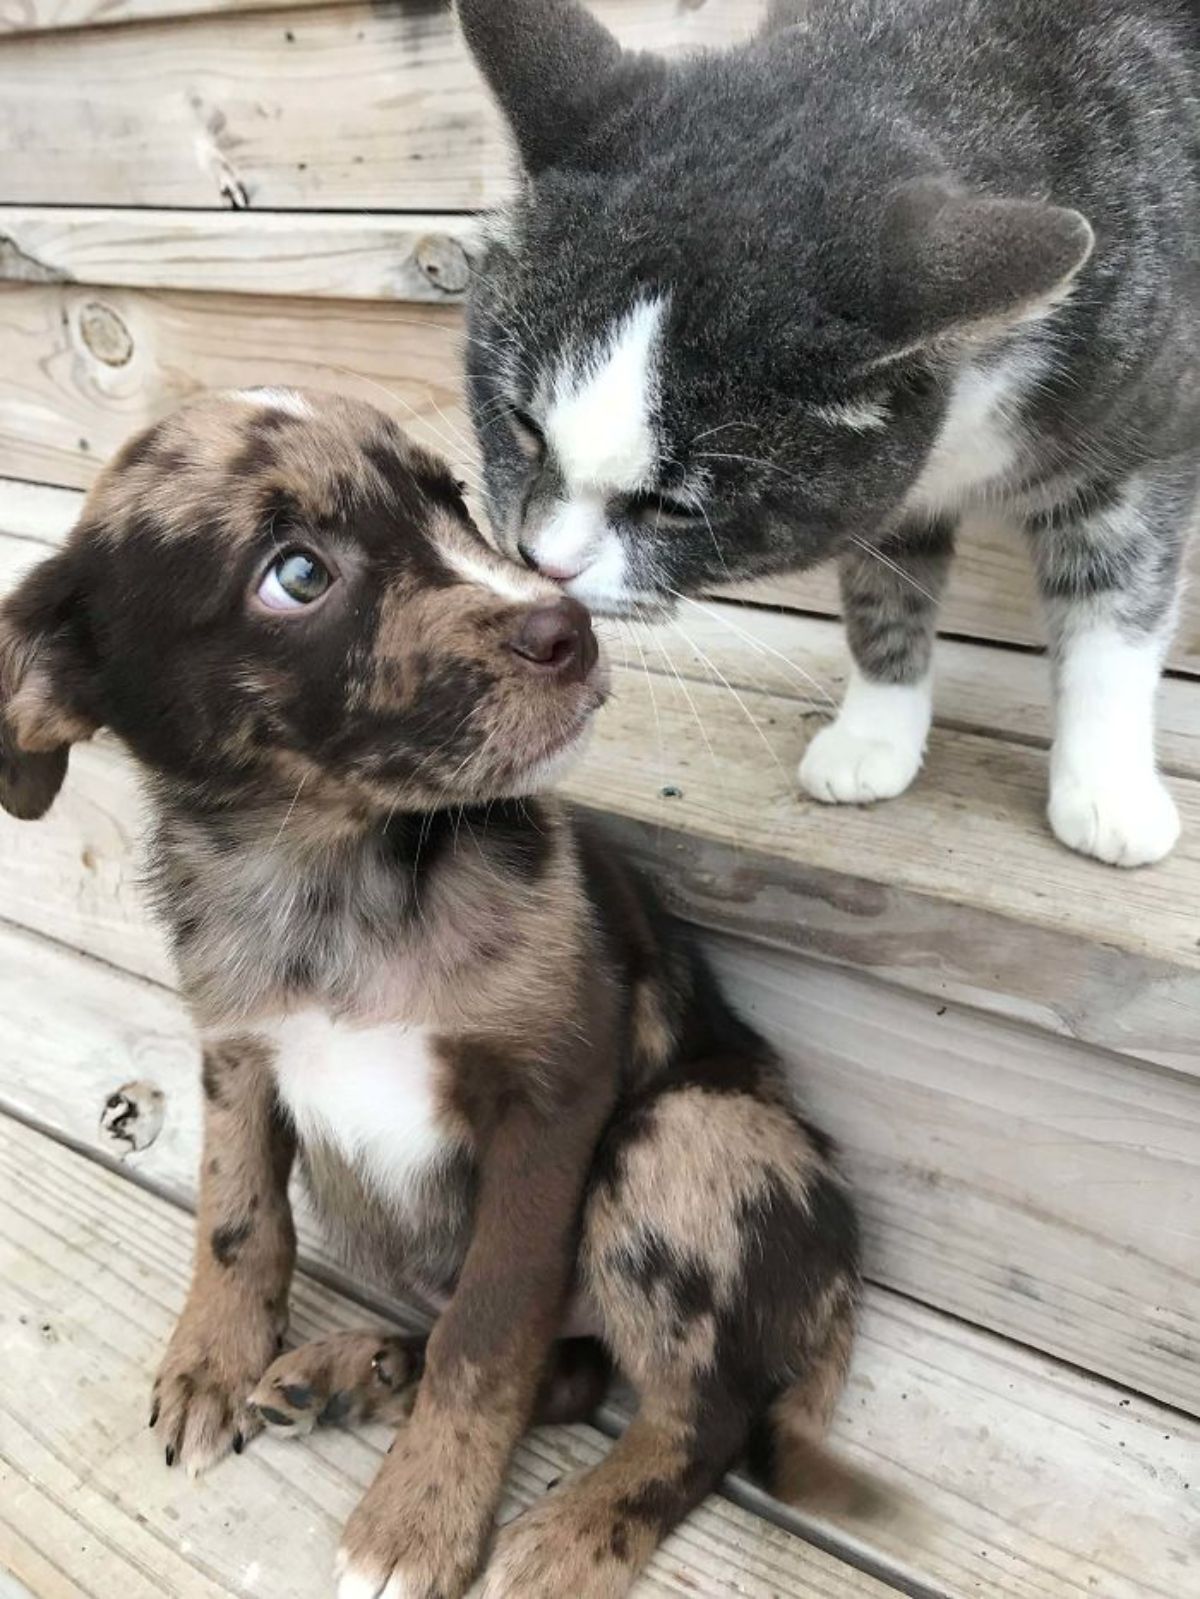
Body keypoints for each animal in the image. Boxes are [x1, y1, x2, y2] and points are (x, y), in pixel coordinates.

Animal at [0, 390, 864, 1599]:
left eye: (452, 500)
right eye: (296, 574)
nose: (572, 628)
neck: (333, 877)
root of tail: (839, 1285)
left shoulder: (553, 1099)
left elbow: (487, 1334)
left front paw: (420, 1518)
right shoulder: (236, 1052)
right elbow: (236, 1219)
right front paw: (212, 1358)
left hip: (679, 1133)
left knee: (702, 1416)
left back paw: (572, 1533)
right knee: (578, 1374)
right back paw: (354, 1370)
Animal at [457, 0, 1200, 869]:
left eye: (677, 508)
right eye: (523, 425)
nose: (541, 559)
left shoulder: (1144, 434)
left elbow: (1117, 604)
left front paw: (1108, 786)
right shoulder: (890, 497)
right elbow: (882, 587)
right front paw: (875, 732)